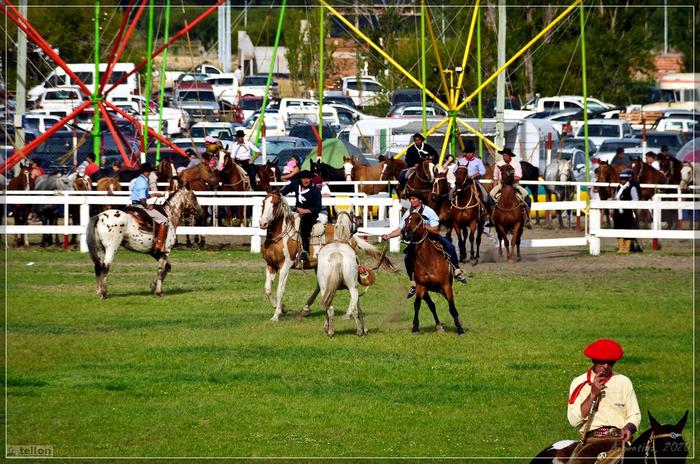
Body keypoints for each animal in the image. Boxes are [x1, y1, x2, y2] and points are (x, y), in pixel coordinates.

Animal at [258, 192, 389, 322]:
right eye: (263, 202)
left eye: (275, 204)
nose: (263, 223)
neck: (280, 237)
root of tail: (352, 238)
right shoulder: (270, 265)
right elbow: (267, 289)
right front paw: (282, 308)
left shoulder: (285, 267)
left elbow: (280, 291)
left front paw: (276, 315)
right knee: (321, 286)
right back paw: (307, 308)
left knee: (350, 289)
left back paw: (346, 313)